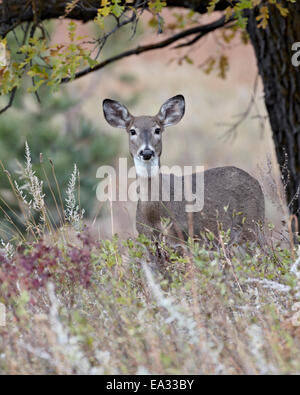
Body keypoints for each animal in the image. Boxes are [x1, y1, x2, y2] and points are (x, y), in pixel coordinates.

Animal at [103, 95, 264, 244]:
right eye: (132, 131)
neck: (154, 215)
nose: (147, 152)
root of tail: (256, 181)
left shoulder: (182, 236)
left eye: (157, 130)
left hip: (253, 224)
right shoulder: (146, 238)